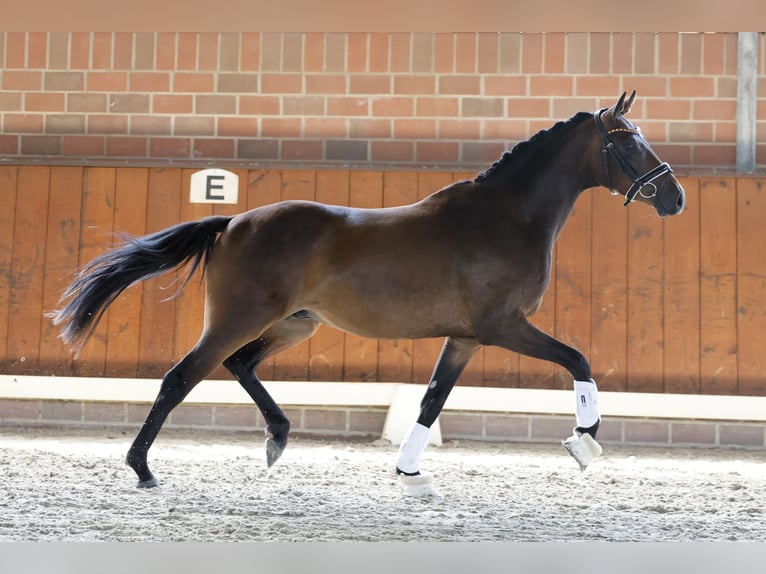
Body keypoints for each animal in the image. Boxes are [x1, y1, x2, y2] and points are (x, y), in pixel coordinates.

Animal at [50, 92, 686, 489]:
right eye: (629, 141)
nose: (675, 198)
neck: (506, 217)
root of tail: (232, 222)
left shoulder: (465, 338)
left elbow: (432, 401)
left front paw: (409, 473)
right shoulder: (503, 327)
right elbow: (579, 361)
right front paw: (585, 442)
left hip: (295, 322)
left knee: (239, 364)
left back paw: (277, 439)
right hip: (240, 318)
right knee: (181, 377)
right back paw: (142, 469)